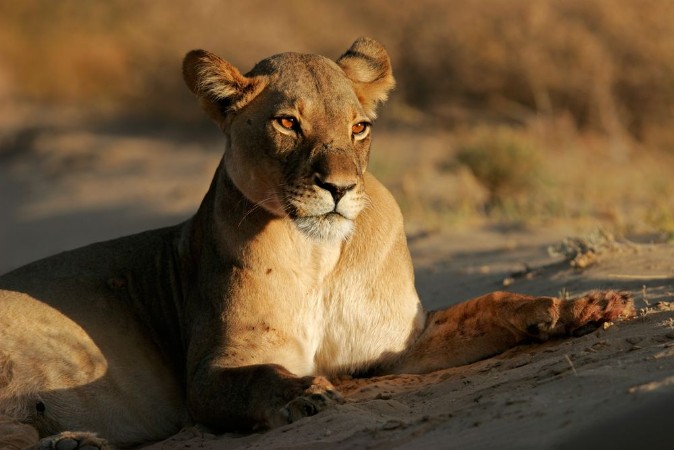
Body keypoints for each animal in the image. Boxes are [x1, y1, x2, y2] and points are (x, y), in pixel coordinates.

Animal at [0, 38, 634, 449]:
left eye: (359, 127)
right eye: (287, 123)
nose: (340, 188)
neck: (319, 257)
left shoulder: (395, 345)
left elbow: (492, 304)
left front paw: (584, 307)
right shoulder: (209, 371)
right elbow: (259, 377)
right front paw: (303, 396)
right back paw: (72, 442)